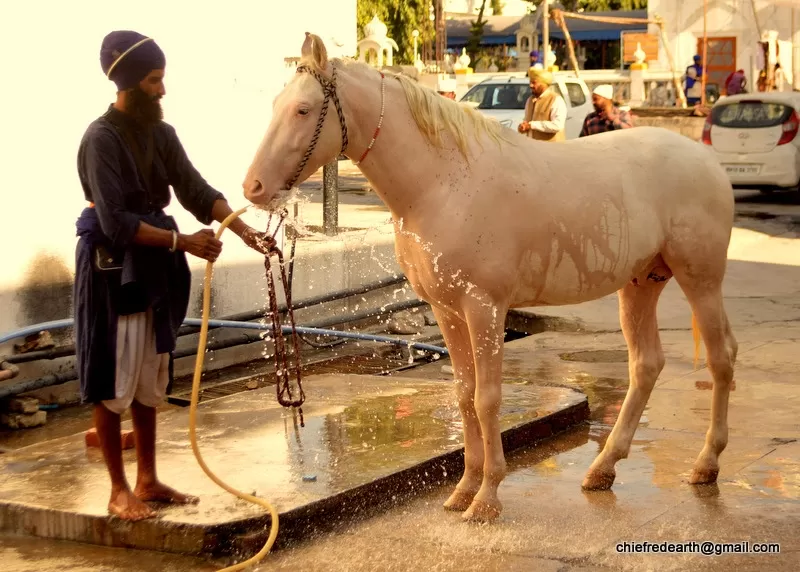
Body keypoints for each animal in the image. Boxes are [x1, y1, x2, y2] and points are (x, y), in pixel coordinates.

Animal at [242, 32, 736, 524]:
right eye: (276, 104)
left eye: (303, 109)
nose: (253, 188)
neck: (443, 183)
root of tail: (709, 161)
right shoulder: (446, 309)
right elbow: (463, 395)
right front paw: (464, 488)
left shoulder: (485, 307)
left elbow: (487, 398)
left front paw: (488, 496)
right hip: (641, 283)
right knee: (646, 365)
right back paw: (603, 468)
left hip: (702, 280)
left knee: (721, 359)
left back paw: (706, 464)